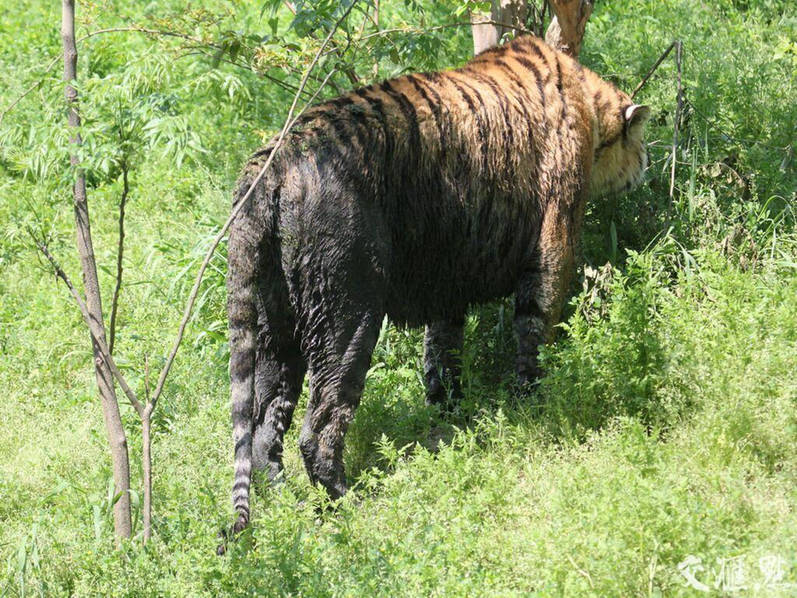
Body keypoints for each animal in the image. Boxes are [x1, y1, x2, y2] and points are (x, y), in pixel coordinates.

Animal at [222, 32, 648, 536]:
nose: (645, 164)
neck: (588, 102)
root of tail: (270, 164)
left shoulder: (448, 282)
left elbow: (442, 353)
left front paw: (453, 418)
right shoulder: (554, 243)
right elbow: (535, 330)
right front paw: (533, 402)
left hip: (275, 322)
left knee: (265, 425)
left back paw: (290, 505)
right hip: (347, 312)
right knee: (319, 425)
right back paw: (350, 503)